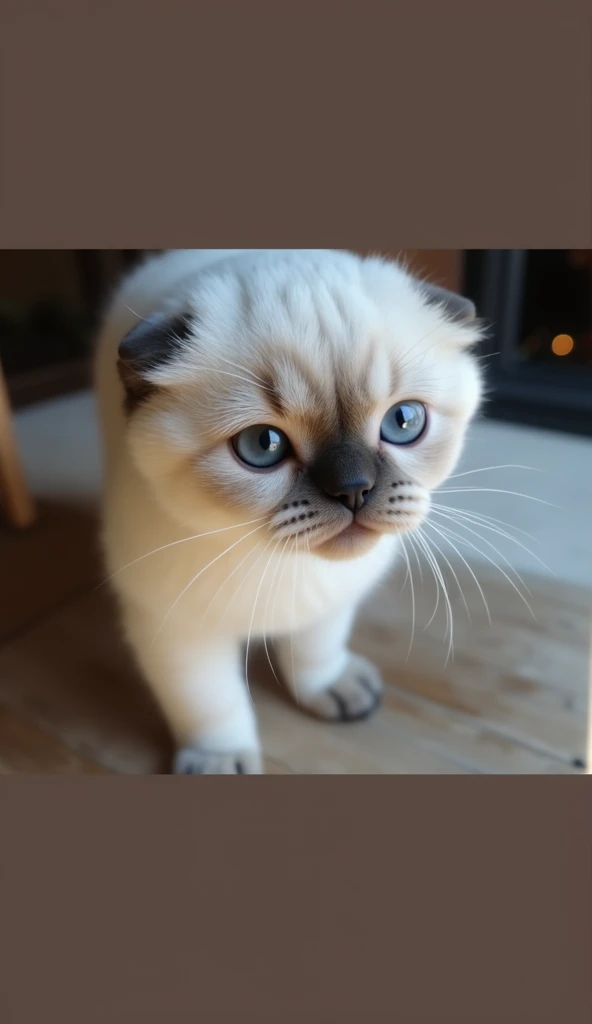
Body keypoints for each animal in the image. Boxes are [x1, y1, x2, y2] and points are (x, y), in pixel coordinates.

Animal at [92, 251, 479, 770]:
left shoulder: (328, 602)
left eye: (403, 422)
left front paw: (331, 688)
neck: (281, 564)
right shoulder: (178, 630)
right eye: (263, 445)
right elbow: (211, 703)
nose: (353, 489)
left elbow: (317, 655)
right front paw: (220, 760)